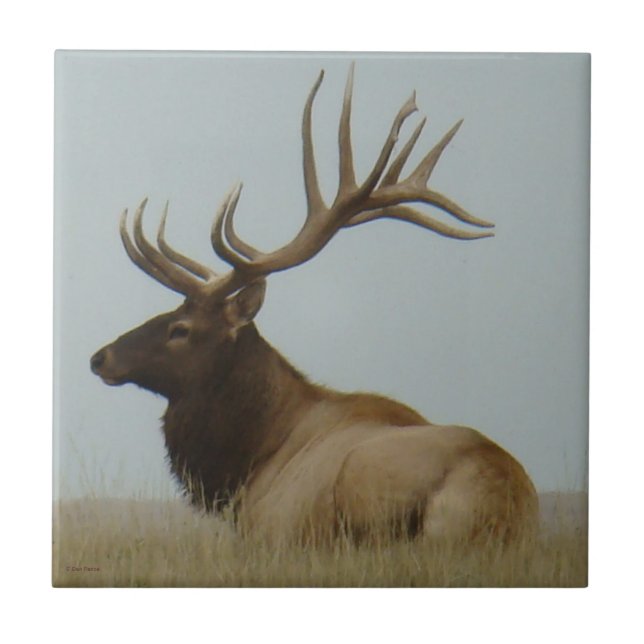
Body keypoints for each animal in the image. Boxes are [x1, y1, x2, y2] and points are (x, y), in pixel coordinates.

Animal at [90, 65, 538, 545]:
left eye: (181, 328)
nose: (100, 357)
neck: (249, 461)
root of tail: (500, 497)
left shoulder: (269, 532)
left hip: (365, 484)